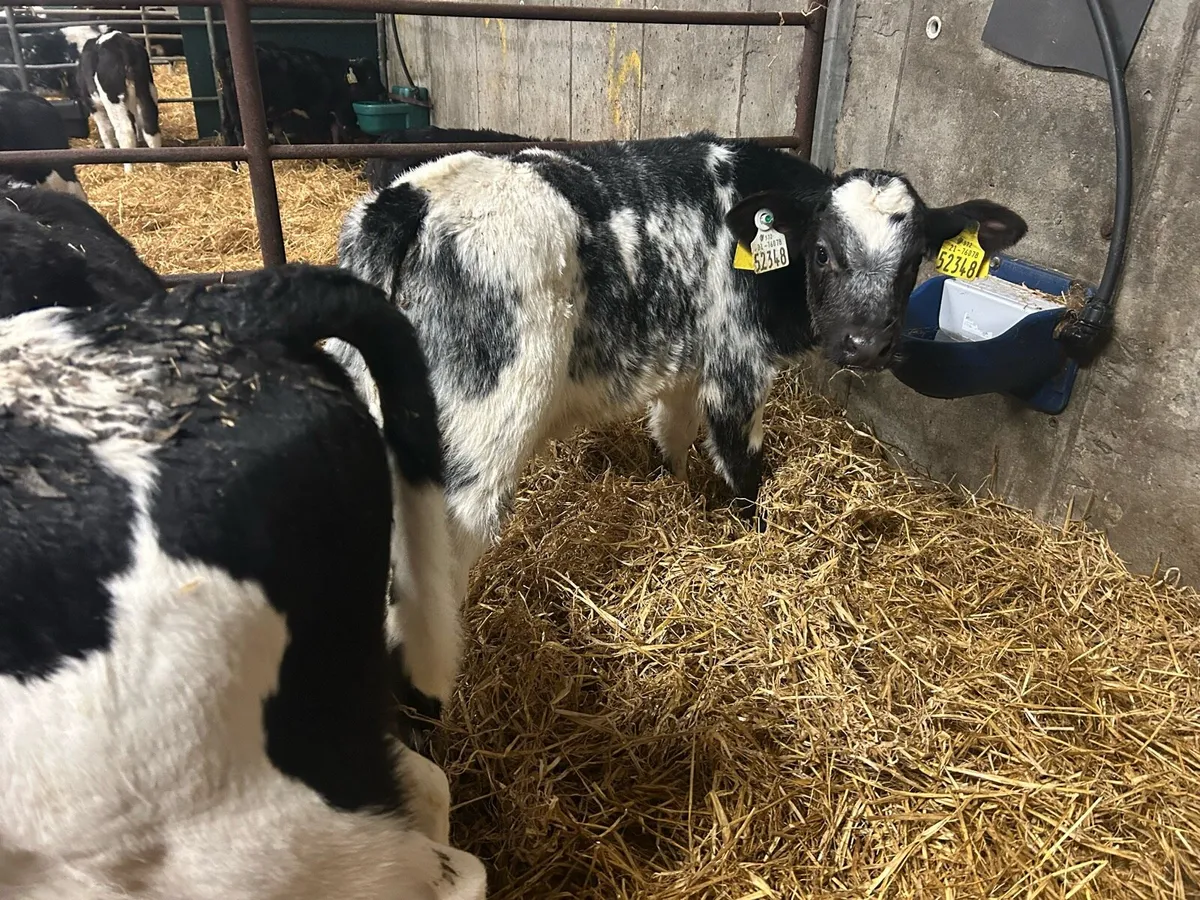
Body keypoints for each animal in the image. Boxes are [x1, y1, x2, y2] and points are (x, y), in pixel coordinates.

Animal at [76, 30, 161, 173]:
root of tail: (119, 43)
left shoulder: (94, 106)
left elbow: (105, 130)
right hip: (147, 90)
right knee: (150, 125)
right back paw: (159, 165)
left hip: (113, 98)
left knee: (125, 131)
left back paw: (128, 170)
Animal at [217, 42, 386, 151]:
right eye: (370, 77)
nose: (382, 88)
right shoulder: (319, 112)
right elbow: (321, 137)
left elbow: (335, 135)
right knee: (238, 131)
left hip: (229, 104)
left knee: (227, 129)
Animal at [334, 131, 1028, 718]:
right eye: (824, 252)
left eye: (914, 262)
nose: (865, 344)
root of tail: (411, 199)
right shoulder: (738, 364)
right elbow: (744, 468)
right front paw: (758, 540)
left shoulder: (685, 367)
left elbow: (670, 438)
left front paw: (673, 498)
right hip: (476, 448)